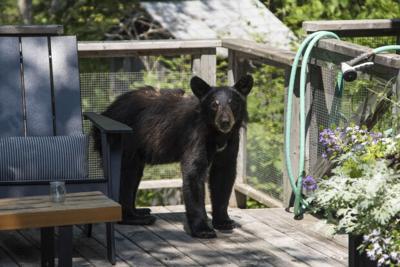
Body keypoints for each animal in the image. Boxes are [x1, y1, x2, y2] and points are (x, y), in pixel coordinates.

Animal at [92, 75, 252, 239]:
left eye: (233, 103)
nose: (225, 122)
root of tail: (106, 112)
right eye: (214, 104)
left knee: (134, 175)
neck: (217, 134)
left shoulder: (231, 141)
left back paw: (140, 211)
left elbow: (223, 174)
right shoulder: (196, 136)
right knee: (126, 176)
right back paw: (134, 217)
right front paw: (203, 229)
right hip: (125, 141)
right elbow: (194, 173)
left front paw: (224, 221)